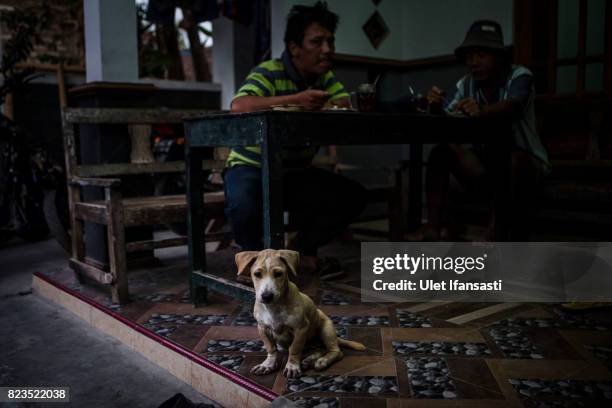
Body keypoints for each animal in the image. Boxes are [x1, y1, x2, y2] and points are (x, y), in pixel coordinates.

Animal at [237, 250, 366, 378]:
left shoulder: (301, 328)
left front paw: (292, 366)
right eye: (257, 274)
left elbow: (294, 348)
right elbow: (271, 348)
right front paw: (268, 364)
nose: (267, 296)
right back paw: (309, 360)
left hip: (326, 329)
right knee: (320, 349)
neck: (274, 306)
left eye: (279, 274)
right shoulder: (262, 328)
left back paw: (322, 361)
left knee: (336, 351)